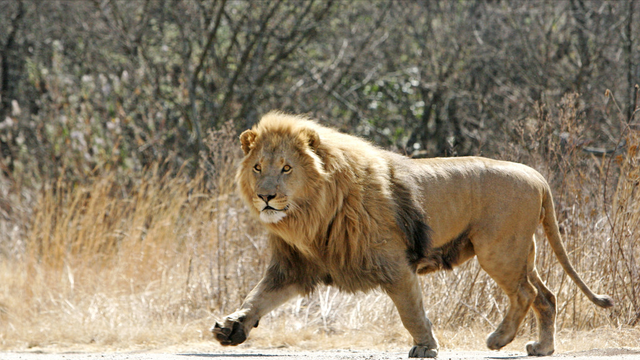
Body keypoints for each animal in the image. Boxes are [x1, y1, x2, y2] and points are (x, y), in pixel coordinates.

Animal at [212, 112, 612, 358]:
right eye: (258, 168)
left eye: (286, 169)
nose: (266, 196)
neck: (310, 214)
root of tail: (537, 176)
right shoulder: (295, 266)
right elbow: (257, 297)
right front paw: (232, 327)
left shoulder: (395, 264)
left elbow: (411, 311)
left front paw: (425, 347)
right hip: (520, 253)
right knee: (547, 296)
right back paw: (541, 348)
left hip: (499, 251)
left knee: (526, 294)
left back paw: (498, 339)